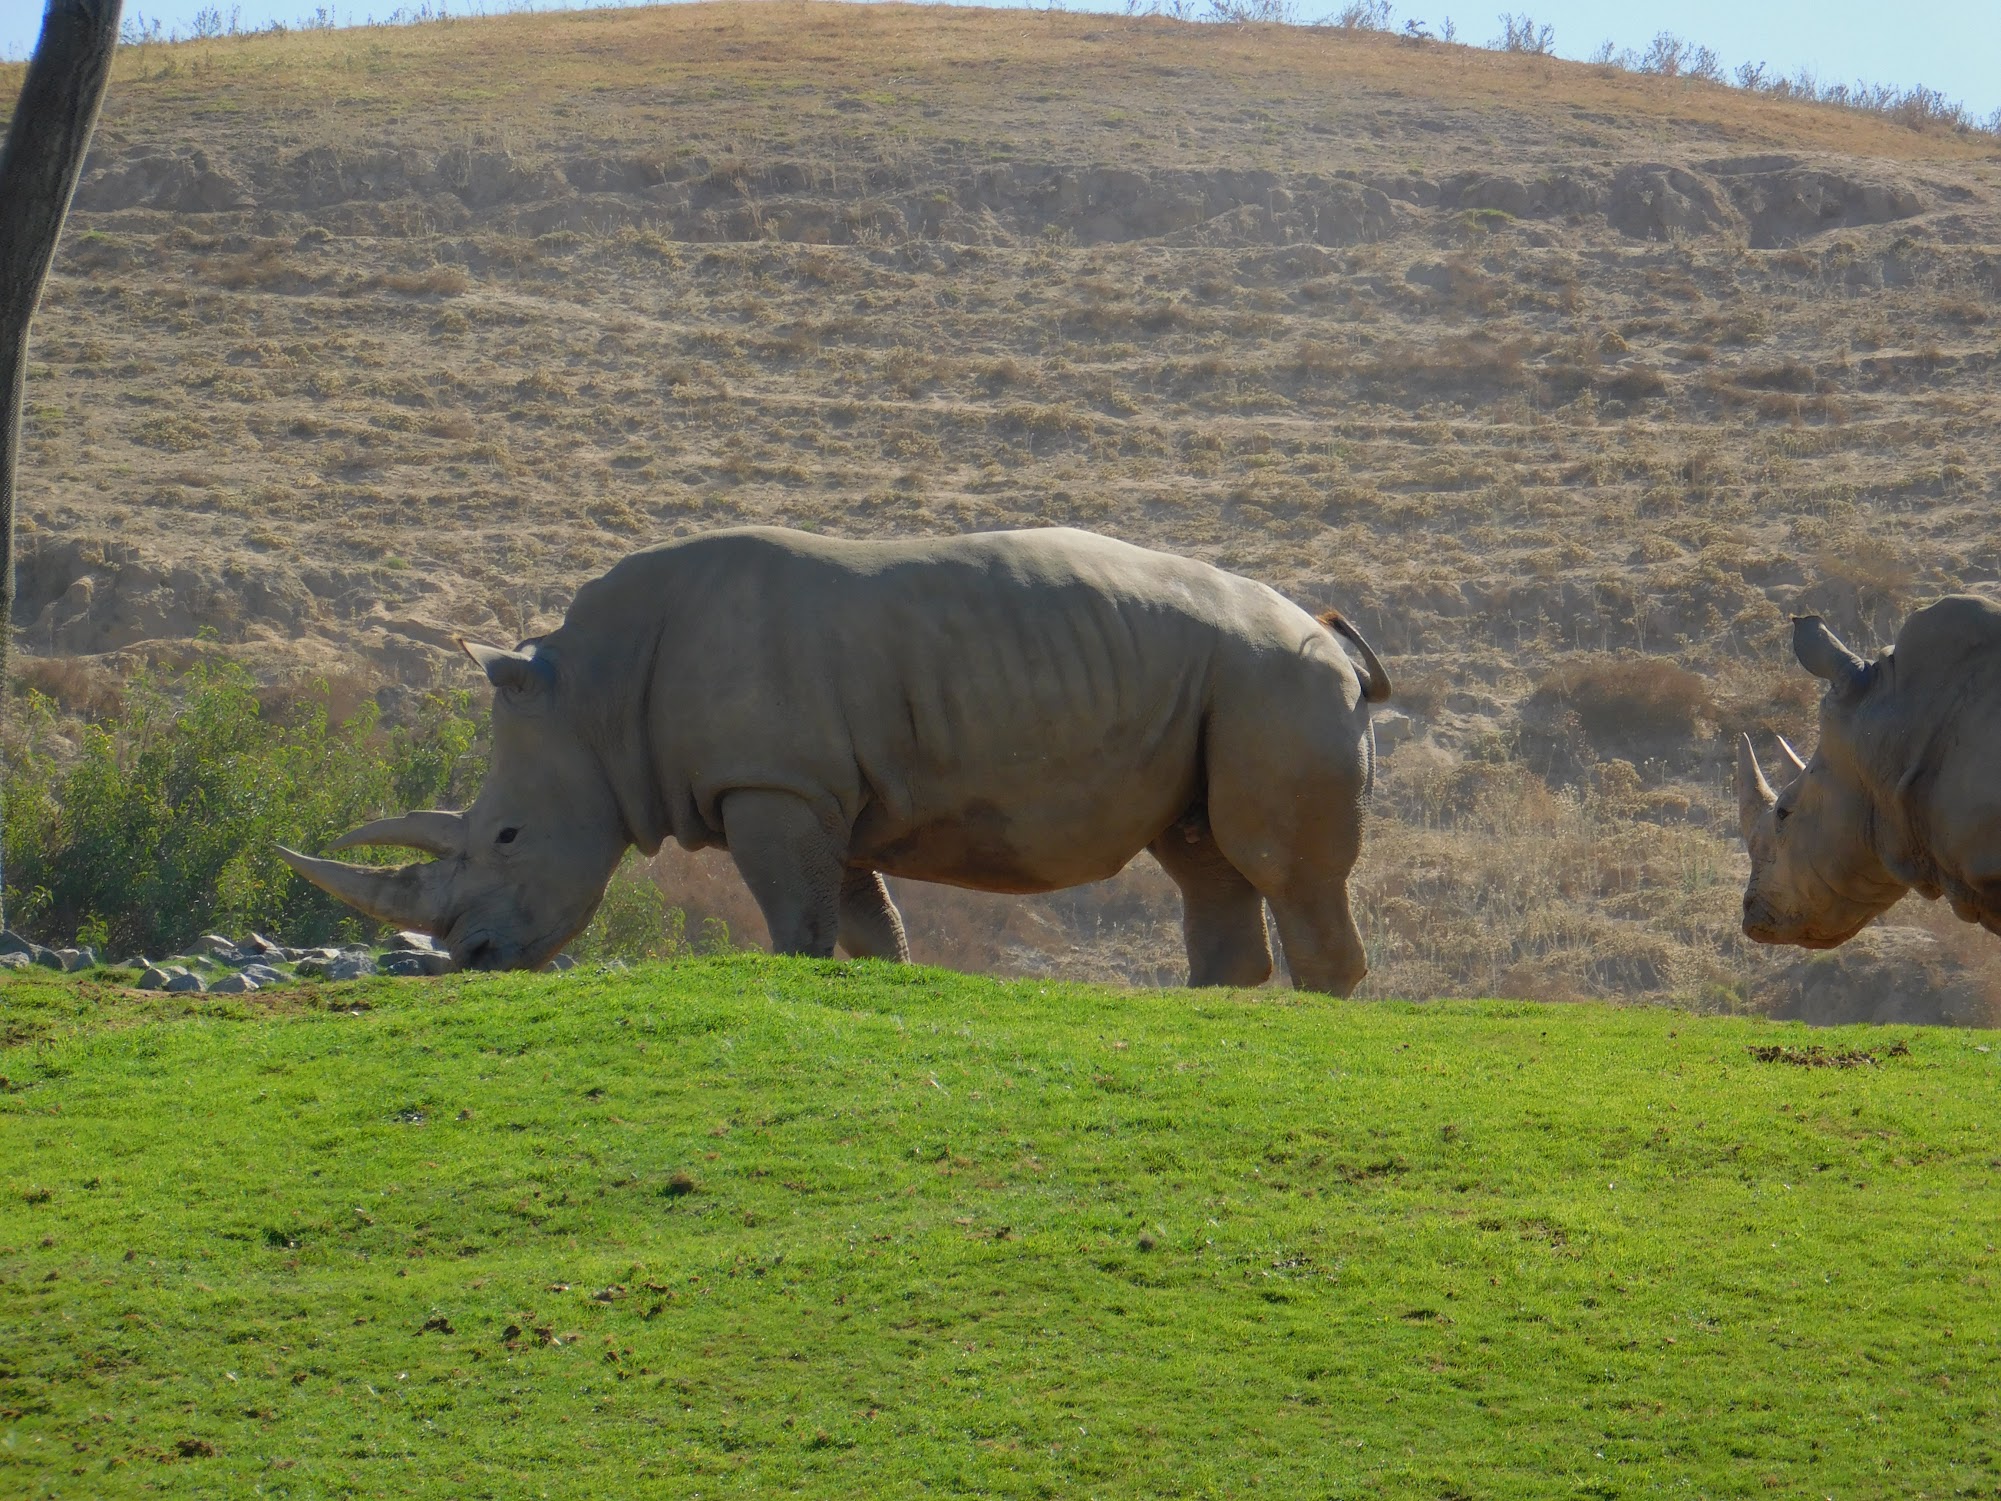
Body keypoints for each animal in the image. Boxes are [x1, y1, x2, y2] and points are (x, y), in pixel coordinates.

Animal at [283, 526, 1391, 993]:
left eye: (508, 834)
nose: (469, 958)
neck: (593, 696)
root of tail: (1331, 637)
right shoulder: (819, 788)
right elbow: (866, 920)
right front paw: (888, 982)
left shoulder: (773, 782)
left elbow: (800, 915)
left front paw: (798, 976)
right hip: (1219, 687)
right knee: (1202, 853)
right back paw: (1216, 1007)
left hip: (1272, 680)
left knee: (1275, 862)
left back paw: (1316, 1009)